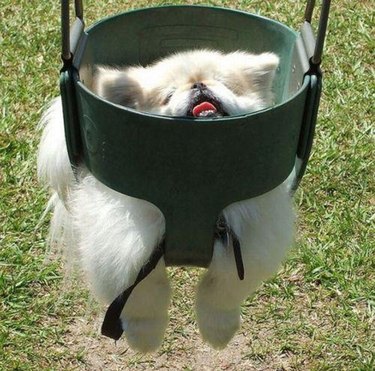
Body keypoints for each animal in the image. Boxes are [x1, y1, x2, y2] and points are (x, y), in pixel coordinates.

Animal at [39, 49, 296, 352]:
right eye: (169, 95)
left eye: (224, 83)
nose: (199, 84)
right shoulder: (127, 247)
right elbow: (143, 295)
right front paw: (145, 338)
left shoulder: (244, 243)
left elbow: (223, 289)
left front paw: (218, 331)